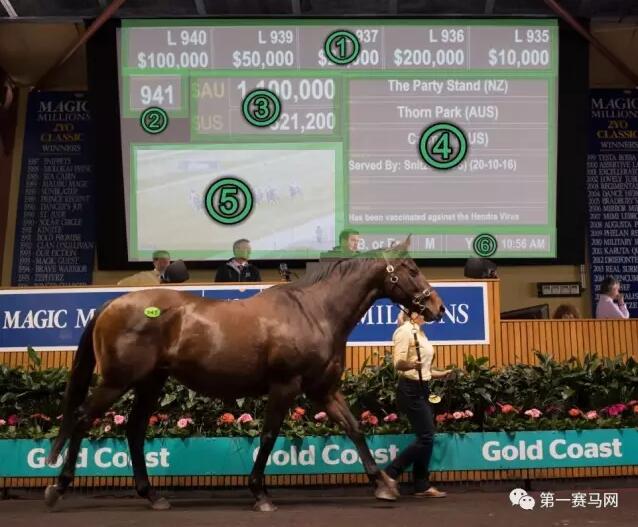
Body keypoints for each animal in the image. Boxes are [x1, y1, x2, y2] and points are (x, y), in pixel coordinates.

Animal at [45, 238, 448, 512]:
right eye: (412, 268)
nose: (437, 307)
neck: (314, 312)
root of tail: (110, 303)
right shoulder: (285, 386)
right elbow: (268, 435)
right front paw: (259, 493)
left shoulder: (323, 390)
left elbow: (355, 429)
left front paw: (383, 484)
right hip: (117, 381)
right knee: (82, 418)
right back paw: (58, 488)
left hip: (150, 383)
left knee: (134, 430)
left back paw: (153, 495)